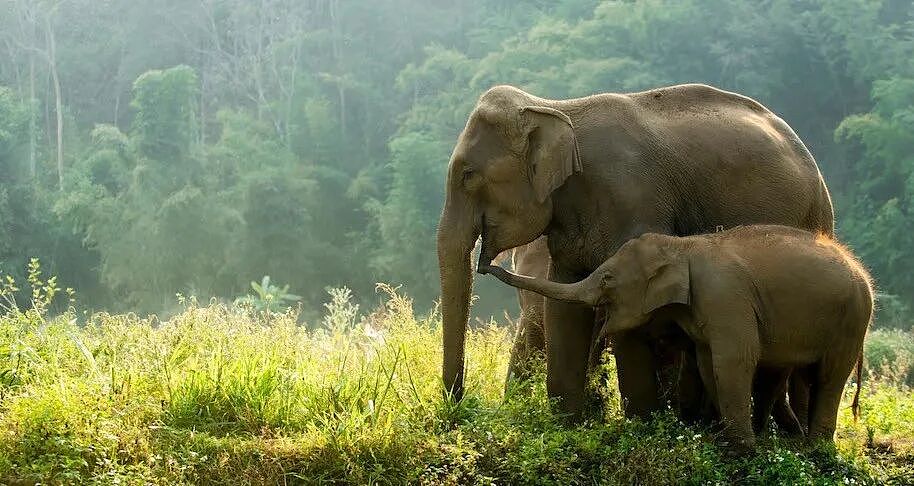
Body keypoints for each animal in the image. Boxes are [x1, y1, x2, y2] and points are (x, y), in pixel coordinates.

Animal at [437, 83, 835, 419]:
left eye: (468, 175)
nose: (486, 264)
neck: (554, 107)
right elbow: (564, 307)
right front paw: (567, 424)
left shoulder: (633, 204)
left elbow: (630, 310)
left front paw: (642, 425)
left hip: (815, 218)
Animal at [480, 225, 872, 451]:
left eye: (607, 279)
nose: (485, 263)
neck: (682, 247)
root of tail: (862, 271)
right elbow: (708, 360)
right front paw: (719, 438)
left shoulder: (725, 297)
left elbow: (735, 358)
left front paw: (743, 451)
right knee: (808, 373)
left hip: (853, 318)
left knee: (830, 376)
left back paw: (817, 450)